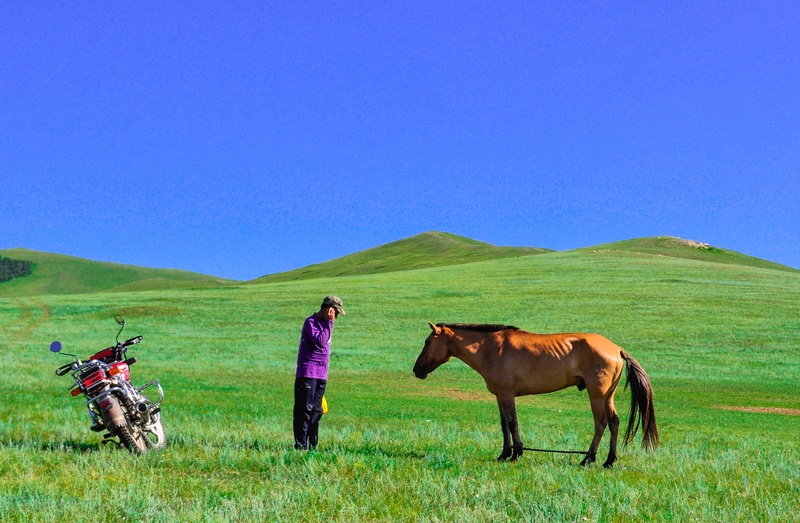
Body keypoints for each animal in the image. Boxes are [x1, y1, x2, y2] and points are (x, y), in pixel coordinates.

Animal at [412, 323, 658, 468]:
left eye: (427, 341)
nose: (417, 370)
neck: (491, 349)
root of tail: (617, 349)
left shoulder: (507, 395)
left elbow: (512, 423)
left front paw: (516, 453)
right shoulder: (500, 396)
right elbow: (504, 425)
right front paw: (504, 453)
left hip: (596, 394)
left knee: (601, 423)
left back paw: (588, 458)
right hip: (608, 396)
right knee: (614, 422)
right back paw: (609, 460)